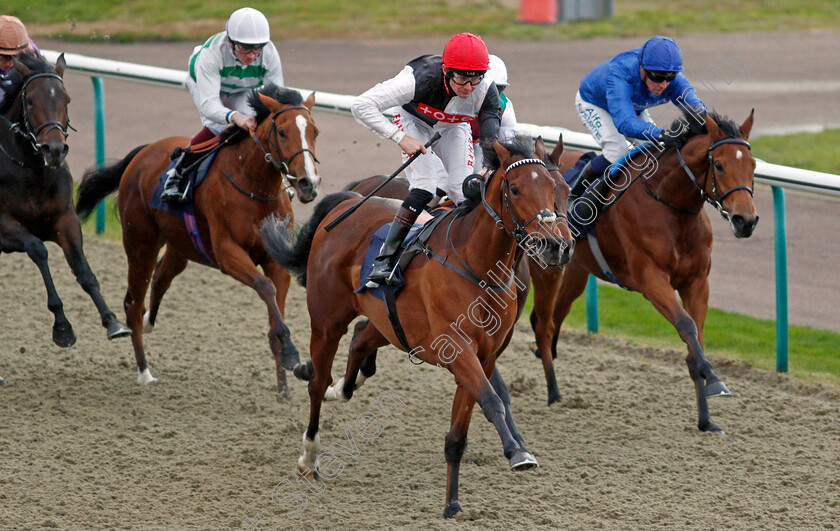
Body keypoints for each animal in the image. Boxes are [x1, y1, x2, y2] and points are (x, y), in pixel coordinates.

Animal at [75, 85, 320, 396]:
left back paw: (150, 322)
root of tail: (144, 152)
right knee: (133, 302)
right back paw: (144, 371)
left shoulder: (276, 259)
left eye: (315, 132)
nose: (308, 183)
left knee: (161, 278)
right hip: (140, 243)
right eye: (283, 132)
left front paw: (284, 387)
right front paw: (290, 353)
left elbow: (276, 309)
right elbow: (265, 288)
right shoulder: (227, 252)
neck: (254, 188)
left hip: (181, 246)